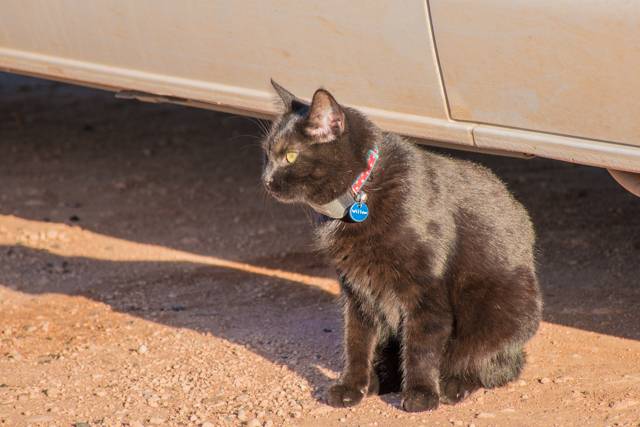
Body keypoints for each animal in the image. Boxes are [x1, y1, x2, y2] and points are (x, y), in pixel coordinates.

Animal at [262, 79, 544, 412]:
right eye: (267, 154)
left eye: (290, 156)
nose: (266, 179)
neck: (359, 196)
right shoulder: (357, 291)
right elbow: (356, 341)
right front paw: (352, 386)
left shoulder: (425, 291)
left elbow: (421, 346)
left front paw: (421, 393)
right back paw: (378, 381)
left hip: (502, 309)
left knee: (490, 365)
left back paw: (453, 385)